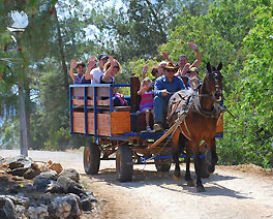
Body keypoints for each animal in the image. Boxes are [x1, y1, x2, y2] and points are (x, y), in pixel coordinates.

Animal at [168, 62, 223, 192]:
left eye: (221, 77)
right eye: (210, 78)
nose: (218, 94)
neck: (203, 110)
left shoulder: (211, 137)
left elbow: (214, 157)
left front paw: (210, 169)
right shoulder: (196, 138)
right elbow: (197, 160)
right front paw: (199, 184)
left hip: (187, 137)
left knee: (188, 154)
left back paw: (188, 177)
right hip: (176, 132)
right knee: (176, 151)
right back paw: (177, 173)